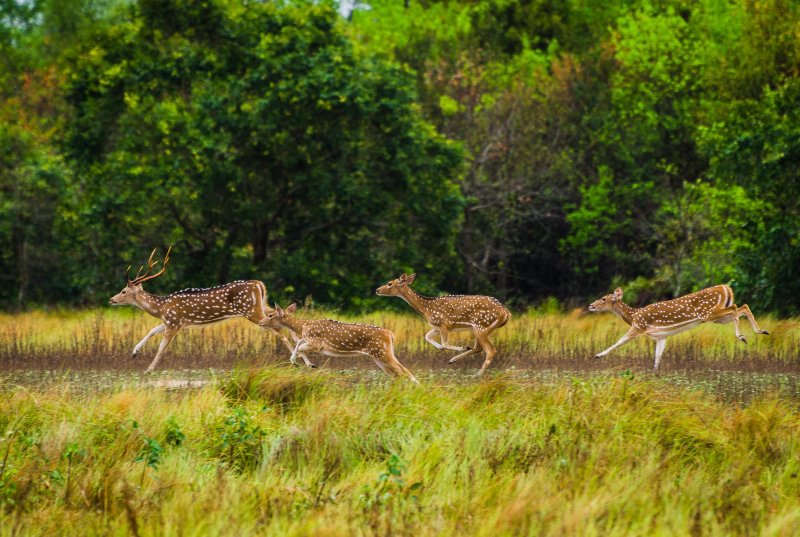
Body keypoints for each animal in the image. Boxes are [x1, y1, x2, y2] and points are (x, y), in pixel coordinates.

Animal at [109, 246, 304, 368]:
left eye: (123, 291)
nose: (111, 299)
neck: (161, 308)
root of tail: (259, 284)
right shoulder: (172, 322)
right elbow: (151, 331)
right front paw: (134, 352)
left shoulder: (173, 322)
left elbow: (162, 347)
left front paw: (149, 369)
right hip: (263, 306)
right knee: (283, 317)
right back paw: (302, 356)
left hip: (251, 311)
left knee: (279, 332)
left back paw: (296, 361)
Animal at [260, 302, 418, 382]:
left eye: (270, 315)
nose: (261, 322)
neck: (304, 326)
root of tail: (390, 334)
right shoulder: (309, 341)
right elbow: (299, 343)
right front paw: (309, 364)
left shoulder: (317, 344)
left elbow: (299, 346)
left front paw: (296, 362)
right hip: (378, 356)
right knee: (397, 373)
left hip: (383, 352)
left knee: (404, 370)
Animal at [374, 272, 510, 372]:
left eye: (390, 283)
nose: (377, 290)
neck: (426, 309)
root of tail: (506, 313)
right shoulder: (436, 326)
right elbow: (427, 337)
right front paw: (443, 348)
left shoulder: (444, 324)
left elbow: (444, 343)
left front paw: (461, 347)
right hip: (482, 328)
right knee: (479, 348)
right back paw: (453, 360)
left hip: (481, 326)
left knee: (490, 350)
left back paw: (479, 373)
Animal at [588, 284, 768, 368]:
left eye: (604, 298)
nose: (591, 305)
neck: (633, 315)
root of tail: (726, 288)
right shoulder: (661, 337)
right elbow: (657, 357)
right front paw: (655, 373)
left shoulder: (639, 326)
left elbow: (620, 341)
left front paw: (598, 355)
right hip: (717, 317)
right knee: (743, 306)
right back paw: (761, 331)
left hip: (709, 313)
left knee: (736, 307)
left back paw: (742, 336)